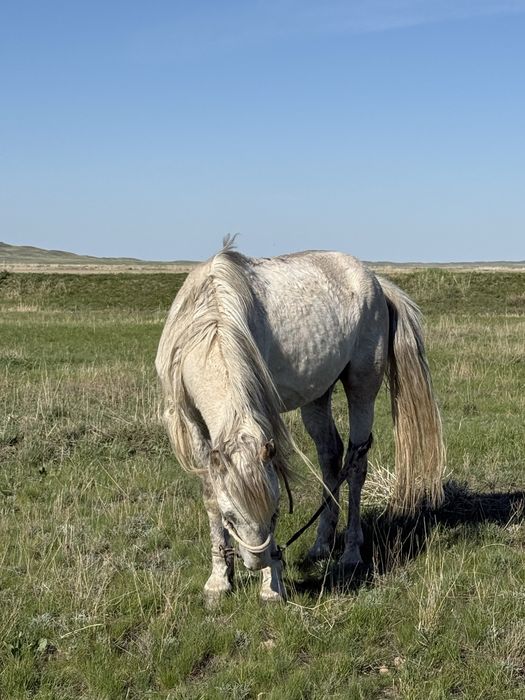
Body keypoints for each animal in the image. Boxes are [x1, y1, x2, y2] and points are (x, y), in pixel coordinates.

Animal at [155, 239, 445, 603]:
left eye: (276, 512)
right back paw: (321, 544)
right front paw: (219, 579)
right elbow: (210, 495)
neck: (211, 323)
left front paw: (271, 586)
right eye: (231, 517)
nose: (258, 561)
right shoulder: (193, 424)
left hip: (361, 388)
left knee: (355, 466)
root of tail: (375, 281)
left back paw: (350, 552)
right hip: (317, 396)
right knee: (330, 457)